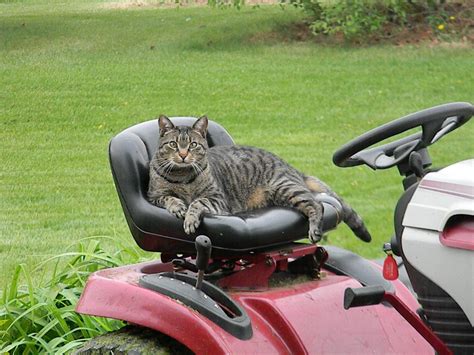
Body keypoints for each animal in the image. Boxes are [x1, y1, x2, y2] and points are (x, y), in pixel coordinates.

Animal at [146, 115, 372, 243]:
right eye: (174, 144)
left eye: (192, 145)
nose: (183, 155)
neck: (183, 175)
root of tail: (293, 168)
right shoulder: (153, 196)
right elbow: (169, 197)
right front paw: (178, 206)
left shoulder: (218, 199)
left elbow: (197, 202)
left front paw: (190, 217)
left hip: (285, 188)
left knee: (317, 205)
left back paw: (315, 230)